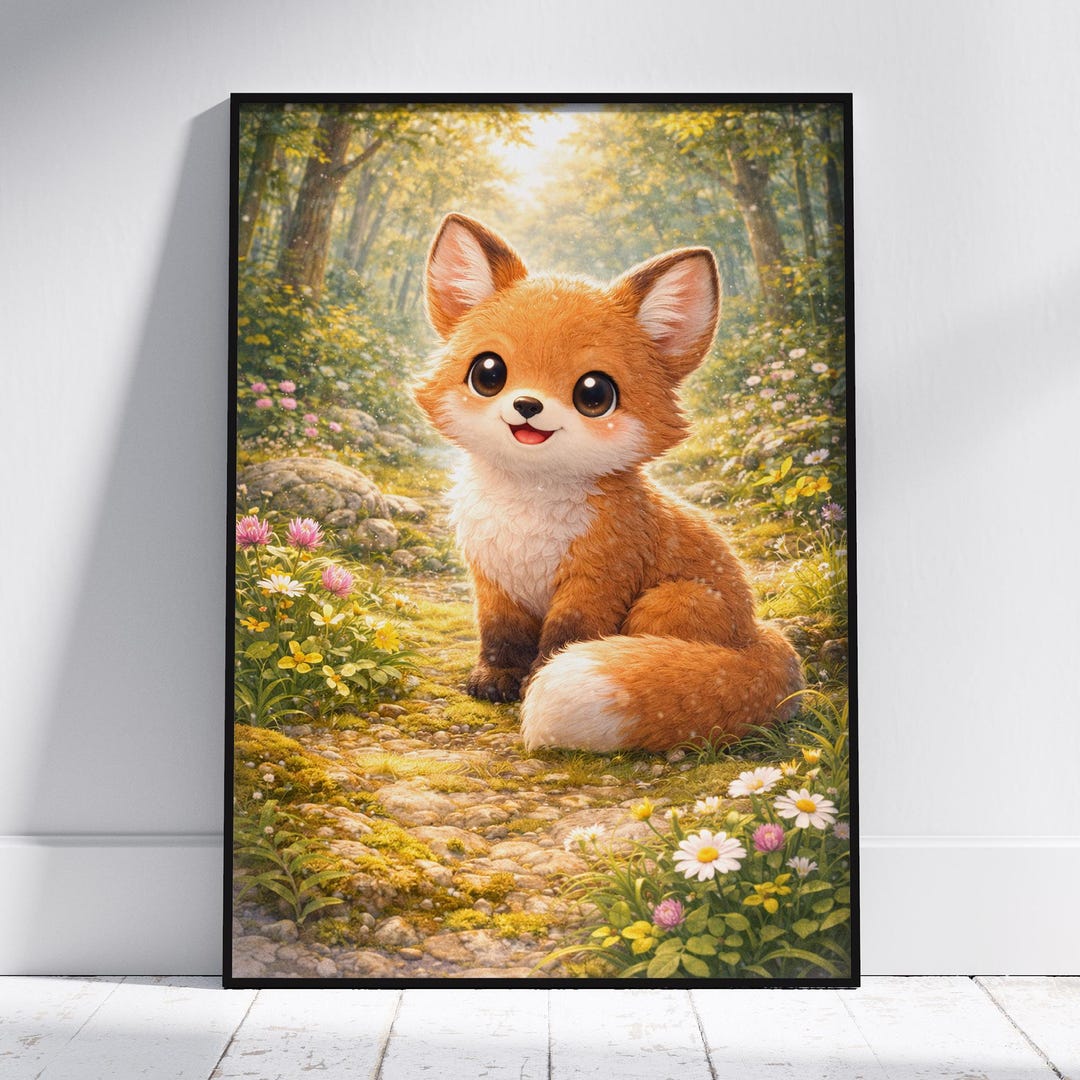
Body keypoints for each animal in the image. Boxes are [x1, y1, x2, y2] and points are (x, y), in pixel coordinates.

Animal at [413, 213, 804, 753]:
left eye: (593, 393)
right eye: (488, 373)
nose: (527, 406)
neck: (527, 509)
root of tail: (758, 635)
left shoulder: (599, 578)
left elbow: (566, 637)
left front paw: (534, 684)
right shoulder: (493, 578)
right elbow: (499, 638)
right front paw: (494, 681)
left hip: (676, 598)